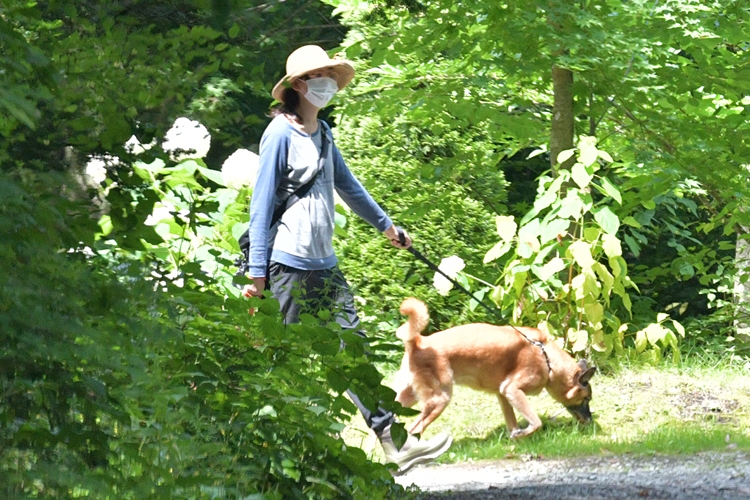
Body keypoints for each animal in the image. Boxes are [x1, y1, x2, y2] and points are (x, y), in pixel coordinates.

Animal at [394, 296, 600, 438]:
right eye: (586, 399)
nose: (590, 421)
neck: (547, 359)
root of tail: (418, 342)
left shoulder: (503, 394)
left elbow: (512, 422)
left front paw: (516, 438)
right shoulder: (513, 390)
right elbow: (536, 422)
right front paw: (523, 434)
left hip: (405, 398)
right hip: (439, 400)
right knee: (414, 429)